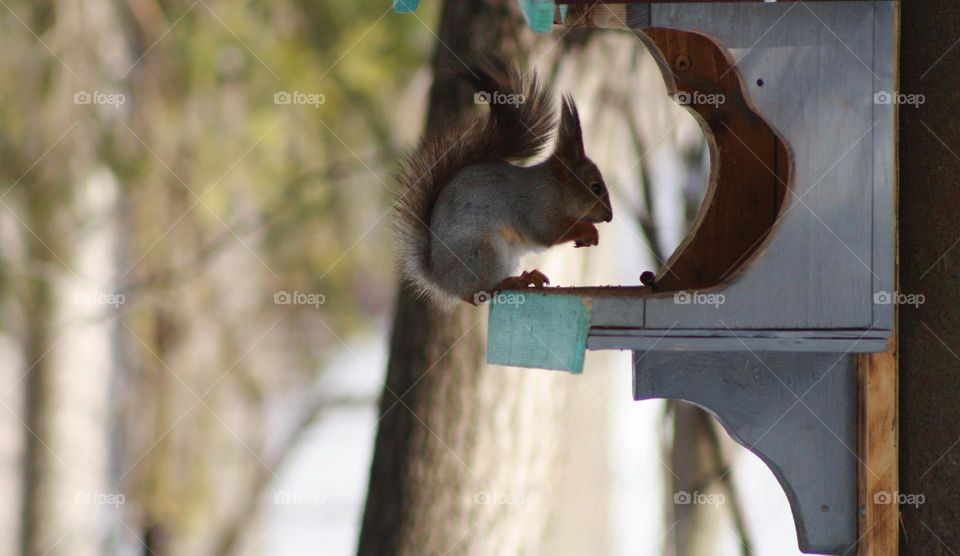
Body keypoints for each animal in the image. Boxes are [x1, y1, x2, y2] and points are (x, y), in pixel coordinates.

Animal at [395, 57, 612, 308]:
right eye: (595, 187)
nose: (609, 216)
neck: (555, 188)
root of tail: (442, 279)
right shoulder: (537, 206)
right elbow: (548, 231)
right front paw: (589, 230)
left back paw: (526, 277)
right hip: (484, 251)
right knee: (477, 294)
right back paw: (512, 282)